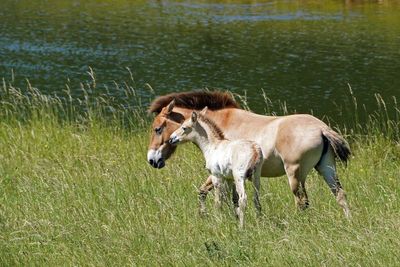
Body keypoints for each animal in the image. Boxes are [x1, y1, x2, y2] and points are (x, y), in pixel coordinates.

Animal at [147, 91, 350, 219]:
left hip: (295, 174)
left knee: (302, 202)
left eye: (157, 129)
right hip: (326, 169)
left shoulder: (220, 174)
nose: (152, 160)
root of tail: (322, 129)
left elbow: (210, 193)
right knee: (340, 195)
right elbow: (222, 196)